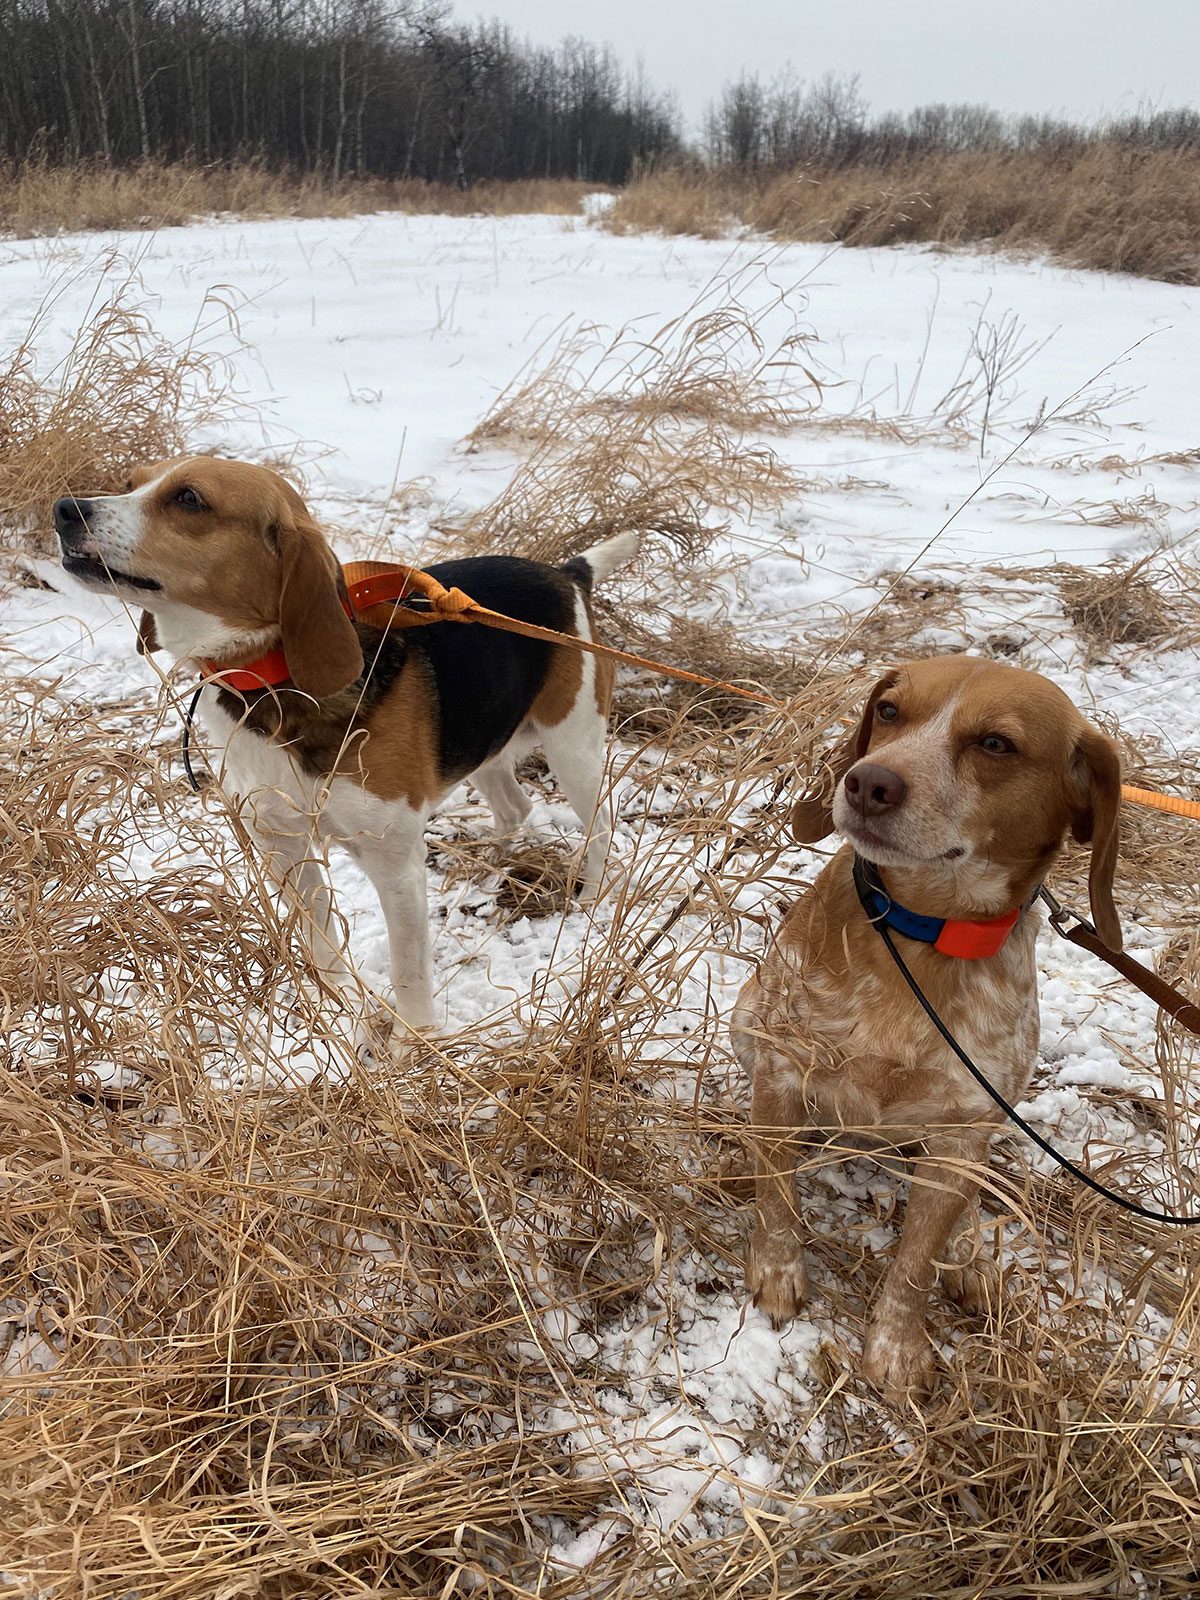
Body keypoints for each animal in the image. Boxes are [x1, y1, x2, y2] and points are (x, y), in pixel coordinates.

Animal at [56, 457, 640, 1030]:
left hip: (573, 747)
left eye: (189, 499)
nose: (64, 508)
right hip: (483, 742)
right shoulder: (283, 847)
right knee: (515, 806)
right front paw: (338, 1014)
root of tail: (565, 575)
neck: (270, 680)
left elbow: (409, 975)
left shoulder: (395, 865)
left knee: (602, 825)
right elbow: (322, 944)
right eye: (130, 483)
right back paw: (491, 862)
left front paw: (411, 1043)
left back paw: (590, 898)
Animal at [732, 656, 1126, 1395]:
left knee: (959, 1210)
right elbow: (777, 1200)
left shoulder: (968, 1123)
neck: (921, 933)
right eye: (889, 711)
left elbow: (917, 1260)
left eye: (996, 744)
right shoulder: (780, 1063)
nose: (868, 783)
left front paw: (896, 1347)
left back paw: (971, 1261)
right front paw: (776, 1271)